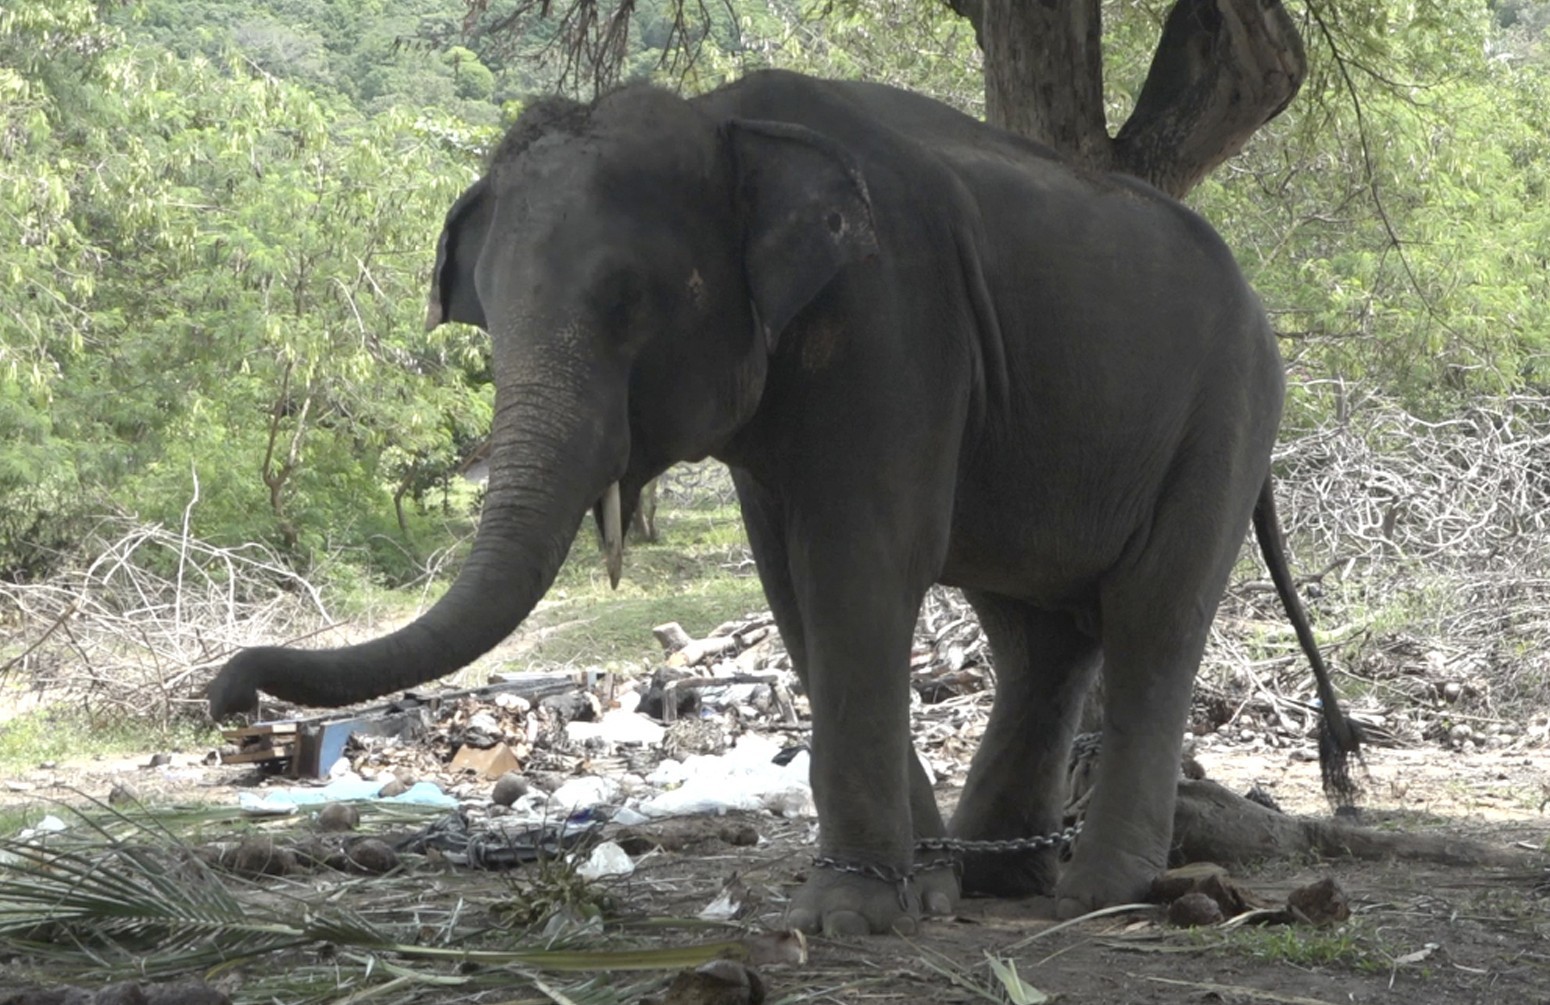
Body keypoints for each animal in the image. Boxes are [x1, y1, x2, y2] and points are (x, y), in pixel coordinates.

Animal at [209, 68, 1357, 936]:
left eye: (626, 300)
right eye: (484, 316)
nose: (227, 695)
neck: (723, 121)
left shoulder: (896, 318)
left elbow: (860, 564)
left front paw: (844, 919)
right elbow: (795, 587)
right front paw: (916, 889)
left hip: (1227, 413)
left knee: (1151, 615)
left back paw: (1097, 896)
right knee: (1040, 633)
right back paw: (999, 877)